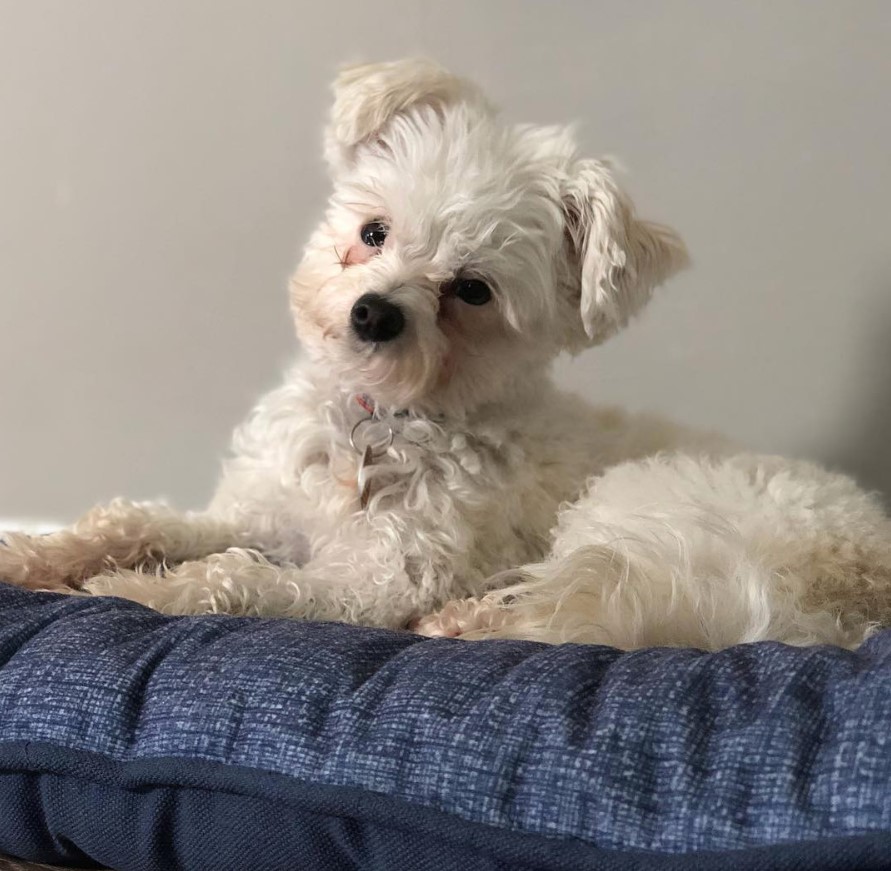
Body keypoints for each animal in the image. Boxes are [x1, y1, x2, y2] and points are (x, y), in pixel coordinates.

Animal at [1, 59, 891, 648]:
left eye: (471, 290)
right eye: (373, 231)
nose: (372, 313)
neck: (377, 420)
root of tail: (857, 580)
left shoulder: (377, 581)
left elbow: (240, 576)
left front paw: (136, 589)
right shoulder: (262, 512)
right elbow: (138, 518)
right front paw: (39, 553)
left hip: (631, 508)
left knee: (558, 615)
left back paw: (460, 622)